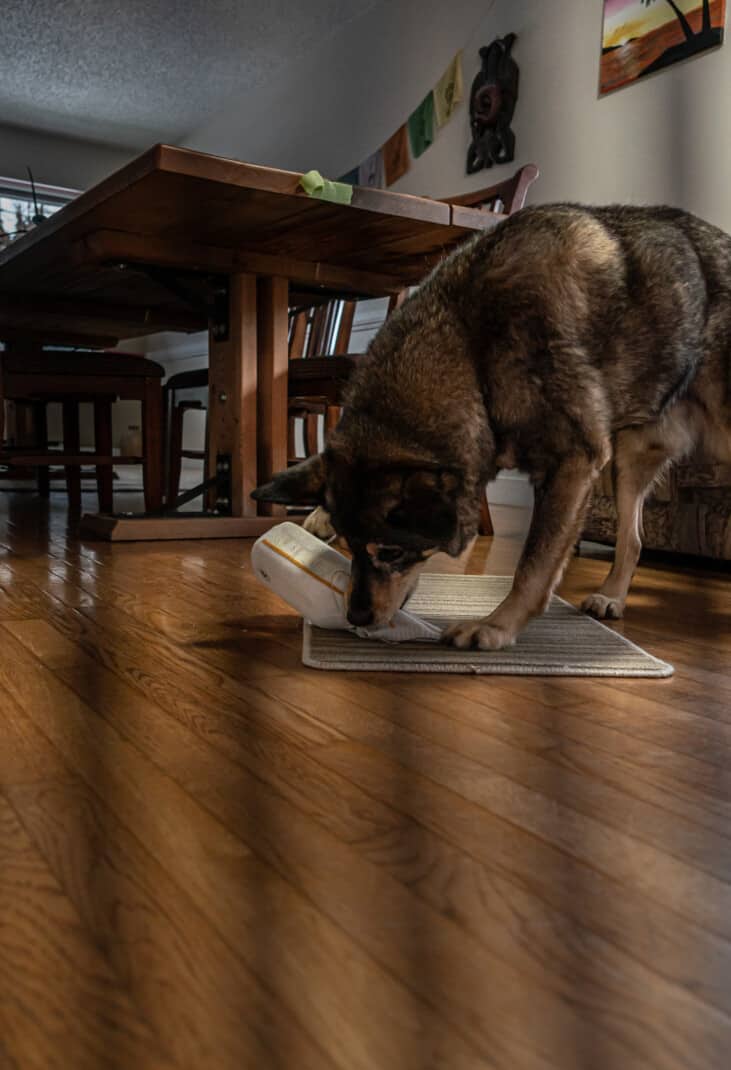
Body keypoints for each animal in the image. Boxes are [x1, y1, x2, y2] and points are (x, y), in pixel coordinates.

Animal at [252, 203, 731, 646]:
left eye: (391, 550)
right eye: (351, 545)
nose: (356, 617)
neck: (470, 345)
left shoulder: (573, 464)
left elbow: (533, 563)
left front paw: (496, 627)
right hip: (631, 458)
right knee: (632, 539)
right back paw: (612, 595)